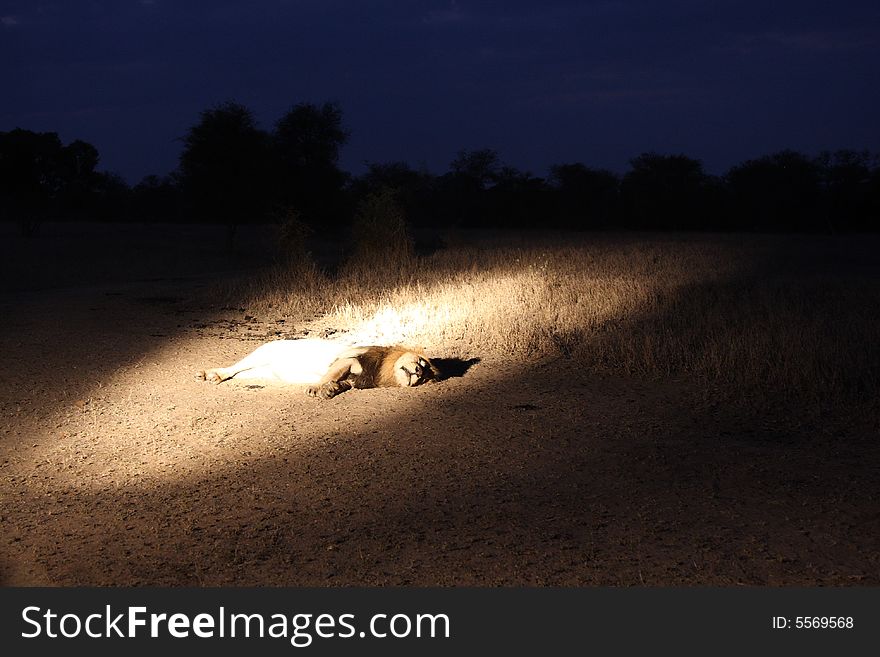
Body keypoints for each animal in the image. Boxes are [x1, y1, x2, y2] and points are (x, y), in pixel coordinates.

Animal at [196, 338, 436, 400]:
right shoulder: (350, 358)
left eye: (425, 377)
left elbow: (341, 382)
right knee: (233, 368)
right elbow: (332, 373)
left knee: (240, 374)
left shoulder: (354, 378)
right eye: (422, 363)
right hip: (262, 352)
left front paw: (331, 390)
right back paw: (211, 374)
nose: (419, 373)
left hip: (260, 371)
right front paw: (316, 388)